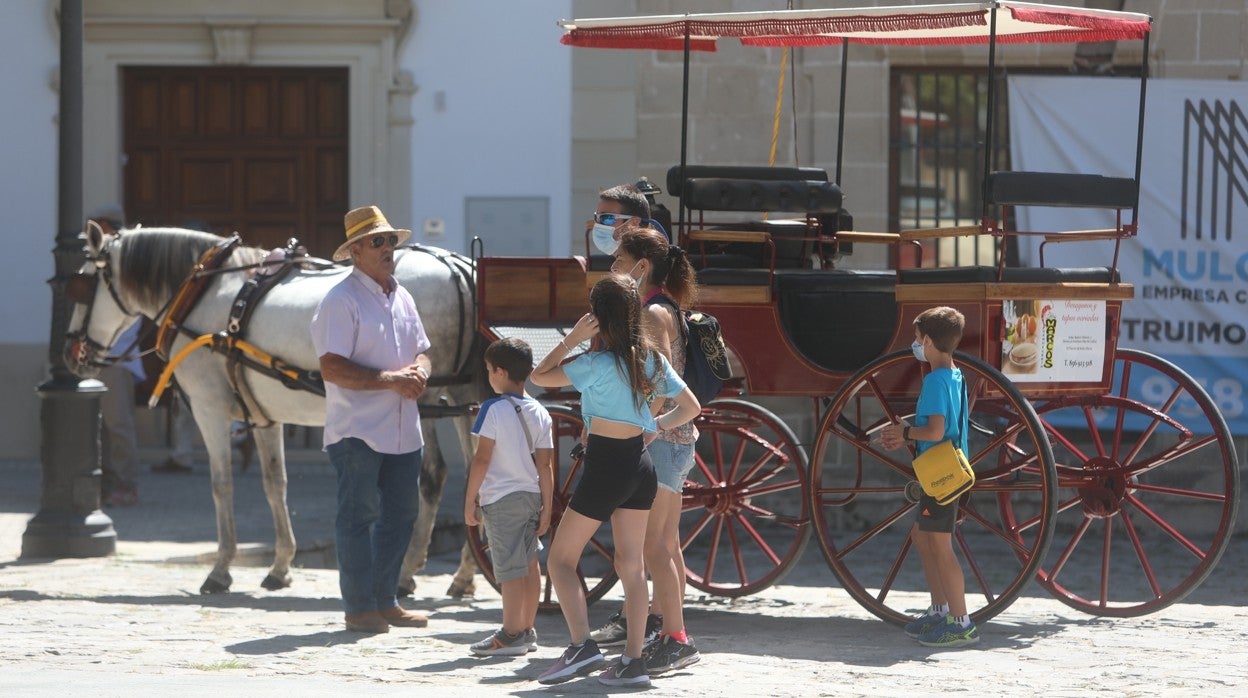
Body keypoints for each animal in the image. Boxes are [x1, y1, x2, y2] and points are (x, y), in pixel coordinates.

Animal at [63, 227, 484, 599]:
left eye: (83, 284)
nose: (70, 352)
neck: (204, 293)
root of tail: (460, 269)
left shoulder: (208, 409)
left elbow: (221, 485)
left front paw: (221, 568)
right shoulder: (265, 416)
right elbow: (274, 484)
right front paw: (280, 566)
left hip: (424, 398)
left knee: (433, 476)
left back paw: (407, 571)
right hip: (466, 397)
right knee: (476, 479)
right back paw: (463, 574)